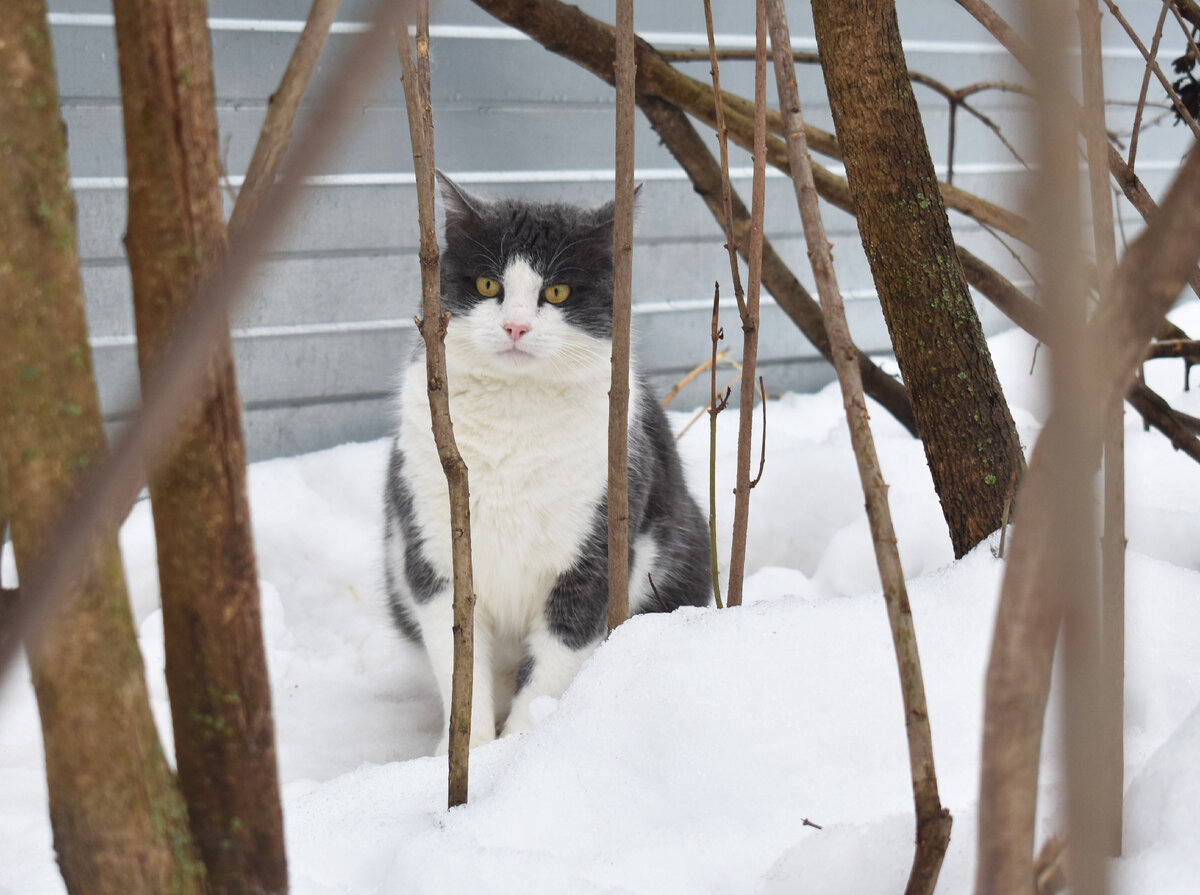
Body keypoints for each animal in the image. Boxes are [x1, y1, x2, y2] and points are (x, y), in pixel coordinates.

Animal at [381, 170, 710, 748]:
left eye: (556, 291)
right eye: (487, 286)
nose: (515, 326)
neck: (515, 418)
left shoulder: (596, 552)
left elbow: (559, 654)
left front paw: (521, 749)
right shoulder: (432, 549)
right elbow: (457, 659)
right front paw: (470, 749)